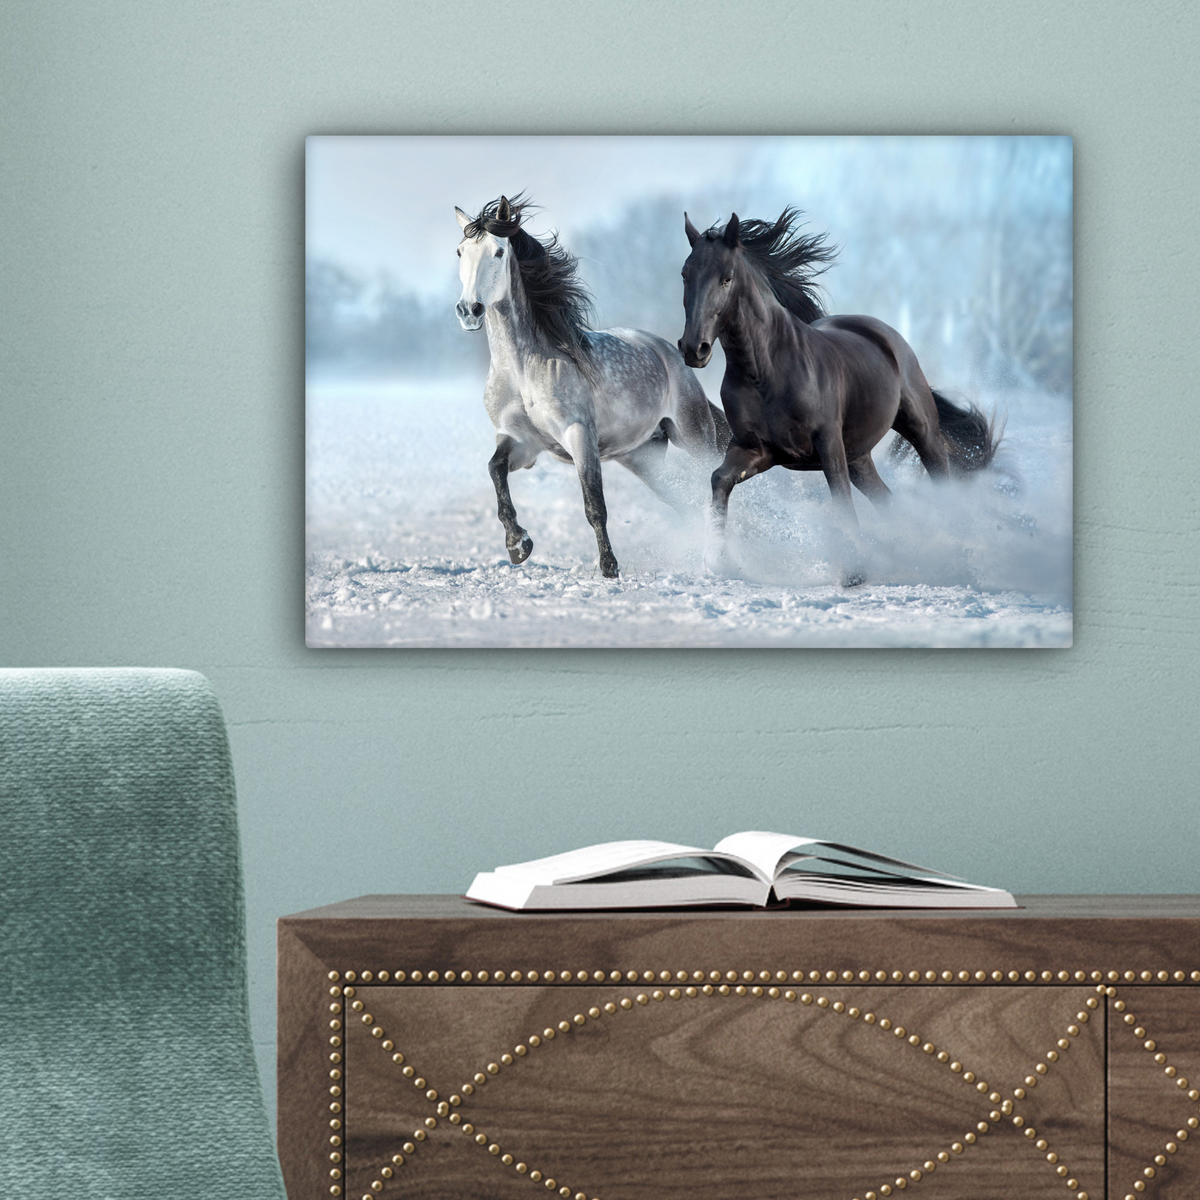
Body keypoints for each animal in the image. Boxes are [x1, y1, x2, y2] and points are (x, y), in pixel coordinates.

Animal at [455, 193, 730, 579]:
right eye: (460, 251)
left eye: (497, 251)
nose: (470, 310)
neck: (523, 370)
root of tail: (670, 353)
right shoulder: (521, 442)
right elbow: (495, 470)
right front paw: (518, 545)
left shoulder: (579, 435)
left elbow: (594, 504)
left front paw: (609, 567)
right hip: (642, 457)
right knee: (683, 500)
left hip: (694, 437)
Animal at [677, 208, 999, 582]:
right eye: (685, 274)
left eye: (726, 279)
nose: (693, 349)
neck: (766, 371)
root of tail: (886, 335)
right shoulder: (756, 449)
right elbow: (720, 479)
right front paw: (719, 561)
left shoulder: (828, 443)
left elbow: (840, 500)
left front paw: (854, 572)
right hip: (859, 456)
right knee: (887, 500)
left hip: (921, 430)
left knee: (940, 478)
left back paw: (956, 559)